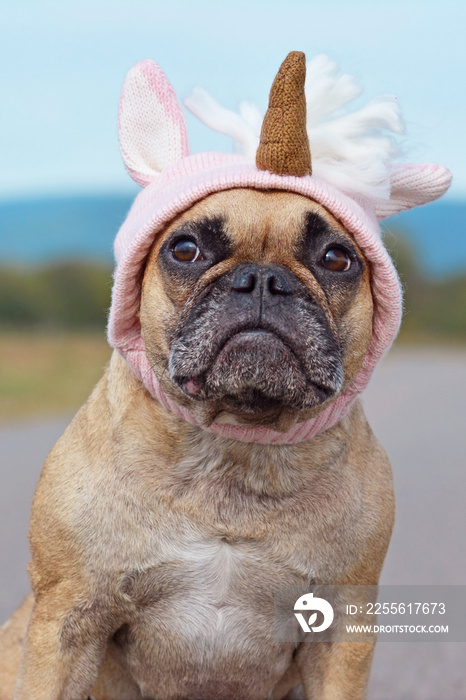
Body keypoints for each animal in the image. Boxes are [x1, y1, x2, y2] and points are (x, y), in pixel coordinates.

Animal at [0, 50, 452, 700]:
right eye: (185, 249)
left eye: (337, 258)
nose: (263, 278)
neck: (235, 442)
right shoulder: (68, 617)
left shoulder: (341, 634)